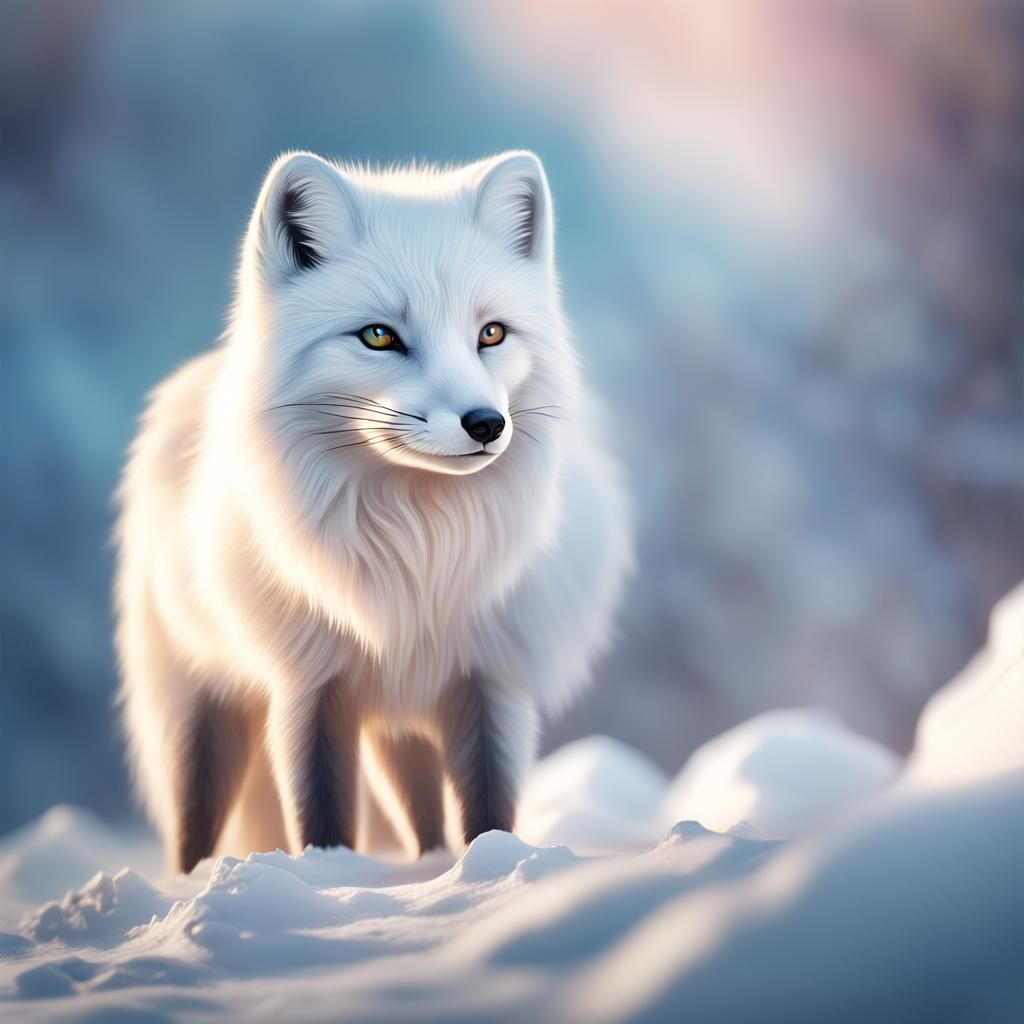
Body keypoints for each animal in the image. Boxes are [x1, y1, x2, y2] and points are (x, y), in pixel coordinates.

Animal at [115, 150, 632, 872]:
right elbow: (320, 814)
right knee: (194, 830)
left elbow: (490, 811)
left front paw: (492, 873)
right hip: (199, 709)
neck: (419, 551)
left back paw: (432, 867)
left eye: (491, 333)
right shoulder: (310, 685)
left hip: (402, 725)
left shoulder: (493, 681)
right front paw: (328, 877)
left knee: (424, 814)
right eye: (380, 337)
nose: (486, 423)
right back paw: (191, 887)